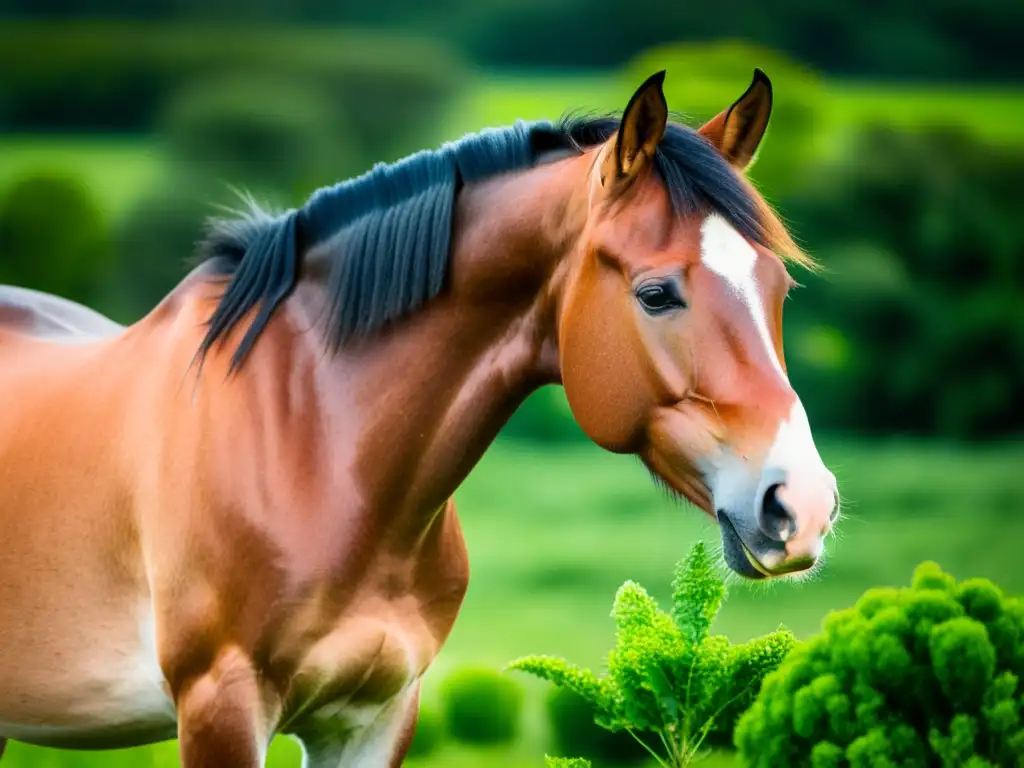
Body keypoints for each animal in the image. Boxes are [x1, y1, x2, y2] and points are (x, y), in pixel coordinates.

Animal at [0, 69, 839, 765]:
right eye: (657, 293)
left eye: (779, 289)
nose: (801, 505)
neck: (314, 451)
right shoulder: (221, 709)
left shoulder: (374, 715)